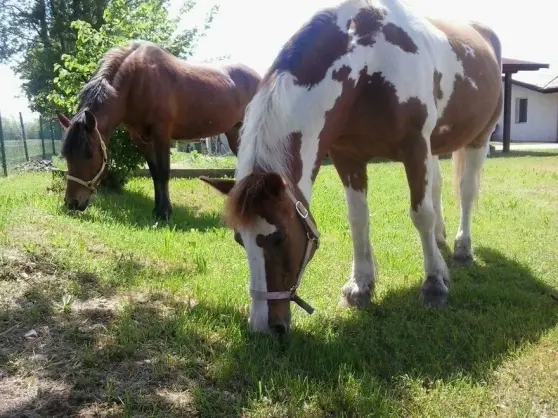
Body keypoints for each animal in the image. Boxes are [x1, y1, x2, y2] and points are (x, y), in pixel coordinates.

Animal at [58, 40, 264, 220]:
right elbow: (155, 173)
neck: (136, 82)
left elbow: (164, 172)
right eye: (66, 154)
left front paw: (165, 212)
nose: (71, 203)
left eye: (89, 154)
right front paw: (157, 209)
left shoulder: (162, 135)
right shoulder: (141, 139)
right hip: (235, 133)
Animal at [203, 0, 506, 334]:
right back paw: (439, 243)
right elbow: (358, 220)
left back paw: (462, 249)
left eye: (280, 237)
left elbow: (420, 215)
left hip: (478, 138)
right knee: (437, 188)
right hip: (435, 147)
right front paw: (361, 286)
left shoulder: (414, 147)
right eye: (238, 239)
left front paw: (434, 285)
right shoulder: (348, 157)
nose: (263, 328)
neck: (370, 65)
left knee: (466, 192)